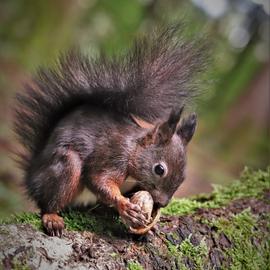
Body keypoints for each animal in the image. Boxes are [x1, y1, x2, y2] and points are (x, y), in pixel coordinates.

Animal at [13, 24, 207, 236]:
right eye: (159, 169)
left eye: (184, 177)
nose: (162, 203)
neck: (134, 150)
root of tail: (32, 174)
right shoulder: (114, 155)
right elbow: (99, 180)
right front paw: (125, 206)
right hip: (65, 167)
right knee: (49, 200)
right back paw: (52, 216)